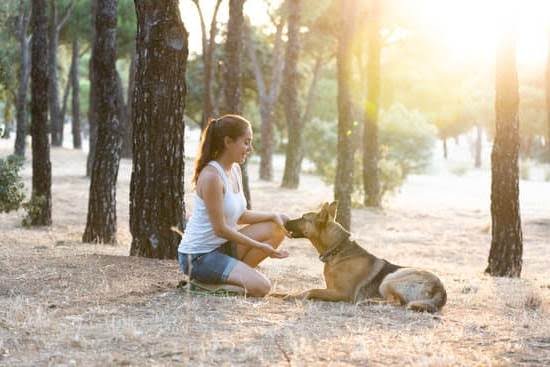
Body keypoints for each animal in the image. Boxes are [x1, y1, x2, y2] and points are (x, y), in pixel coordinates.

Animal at [284, 201, 448, 314]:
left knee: (396, 302)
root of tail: (440, 289)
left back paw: (370, 302)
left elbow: (311, 291)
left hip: (390, 278)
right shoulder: (330, 289)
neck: (337, 249)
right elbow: (307, 290)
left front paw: (291, 296)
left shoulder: (343, 294)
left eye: (303, 217)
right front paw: (285, 294)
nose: (284, 221)